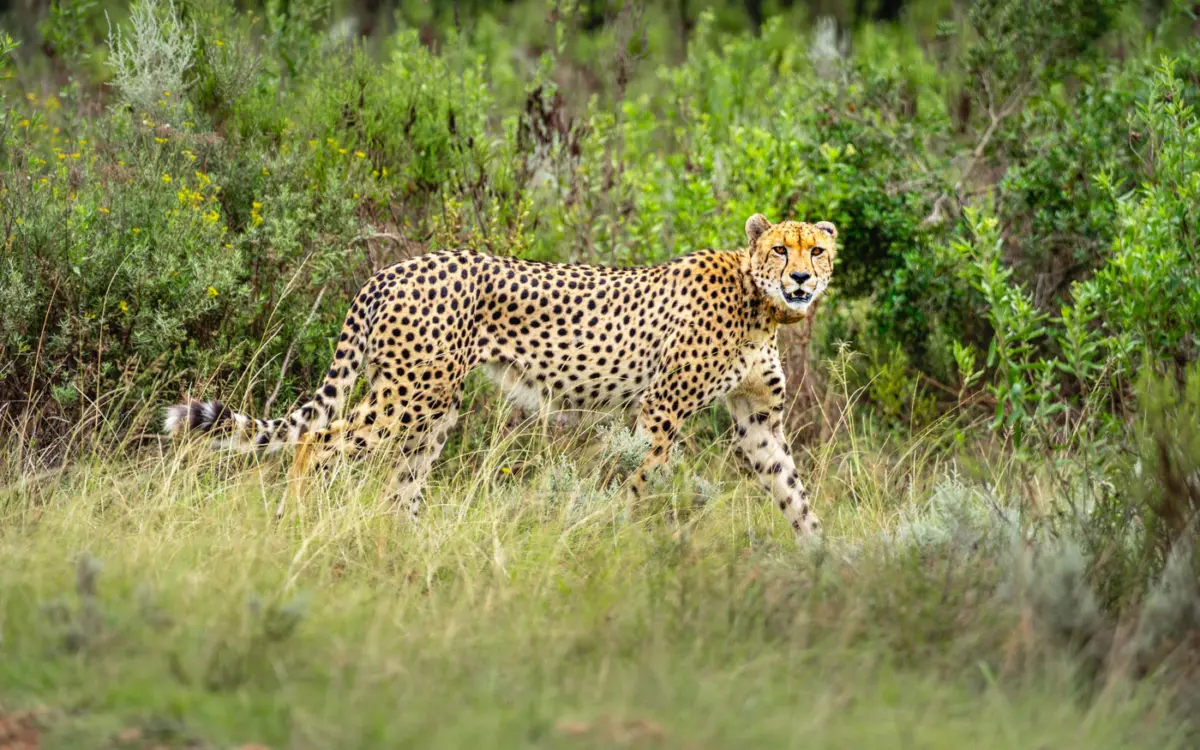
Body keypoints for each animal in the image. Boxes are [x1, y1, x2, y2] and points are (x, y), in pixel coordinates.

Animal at [166, 213, 835, 535]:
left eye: (818, 250)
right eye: (781, 249)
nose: (802, 278)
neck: (760, 303)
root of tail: (393, 268)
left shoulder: (759, 421)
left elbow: (794, 493)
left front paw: (826, 560)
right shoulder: (661, 410)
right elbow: (634, 482)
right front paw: (604, 533)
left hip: (434, 406)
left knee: (401, 487)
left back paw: (414, 548)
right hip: (408, 395)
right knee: (315, 441)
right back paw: (294, 523)